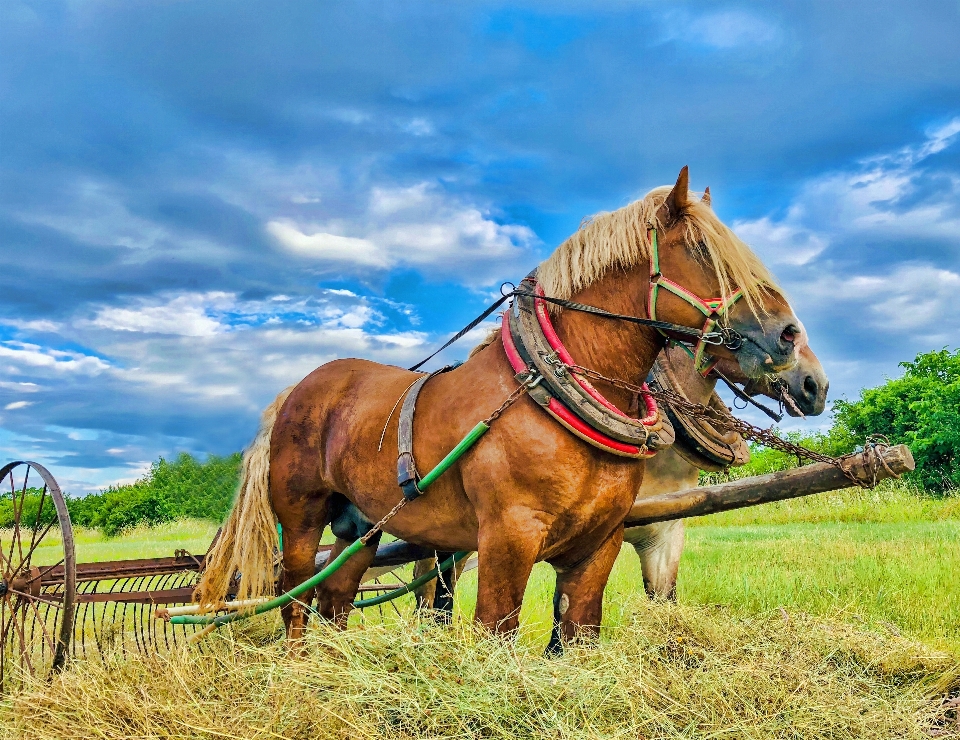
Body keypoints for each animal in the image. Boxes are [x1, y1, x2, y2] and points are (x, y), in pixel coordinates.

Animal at [199, 169, 808, 648]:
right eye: (704, 251)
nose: (791, 343)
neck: (555, 395)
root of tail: (294, 392)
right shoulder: (507, 537)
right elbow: (496, 629)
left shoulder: (602, 544)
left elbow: (577, 631)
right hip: (302, 518)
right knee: (296, 600)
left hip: (361, 526)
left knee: (336, 598)